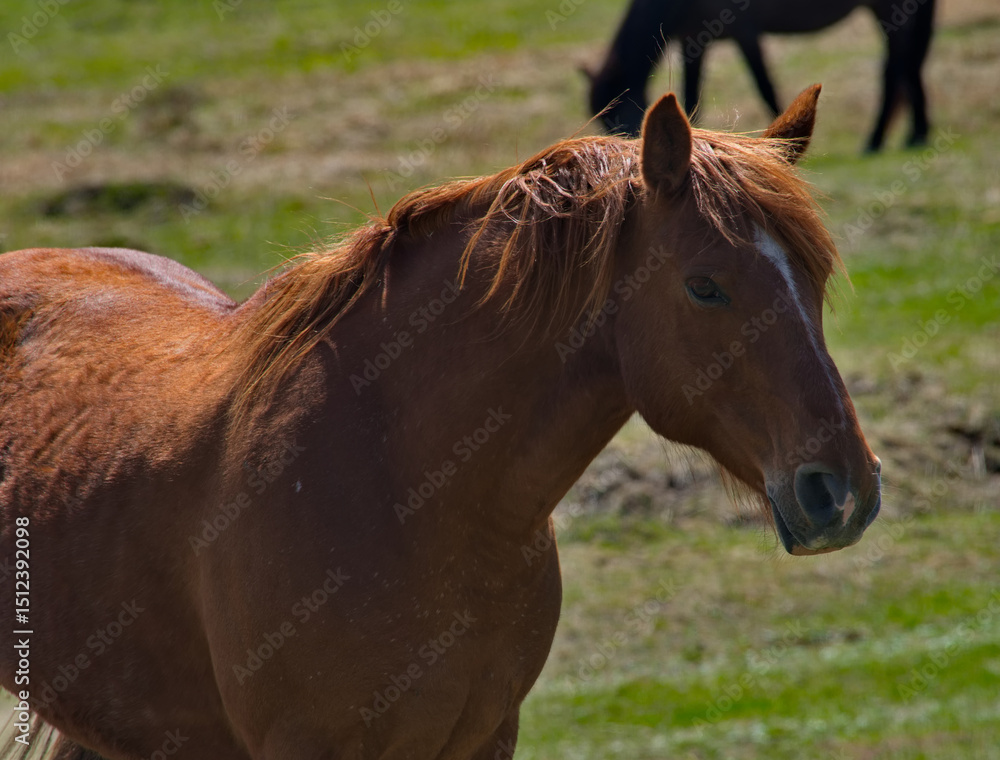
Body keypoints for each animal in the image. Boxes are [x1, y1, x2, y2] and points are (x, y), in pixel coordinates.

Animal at [586, 0, 935, 152]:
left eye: (618, 113)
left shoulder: (745, 32)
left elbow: (764, 85)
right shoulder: (694, 39)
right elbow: (691, 96)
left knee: (896, 68)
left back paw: (882, 139)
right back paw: (913, 133)